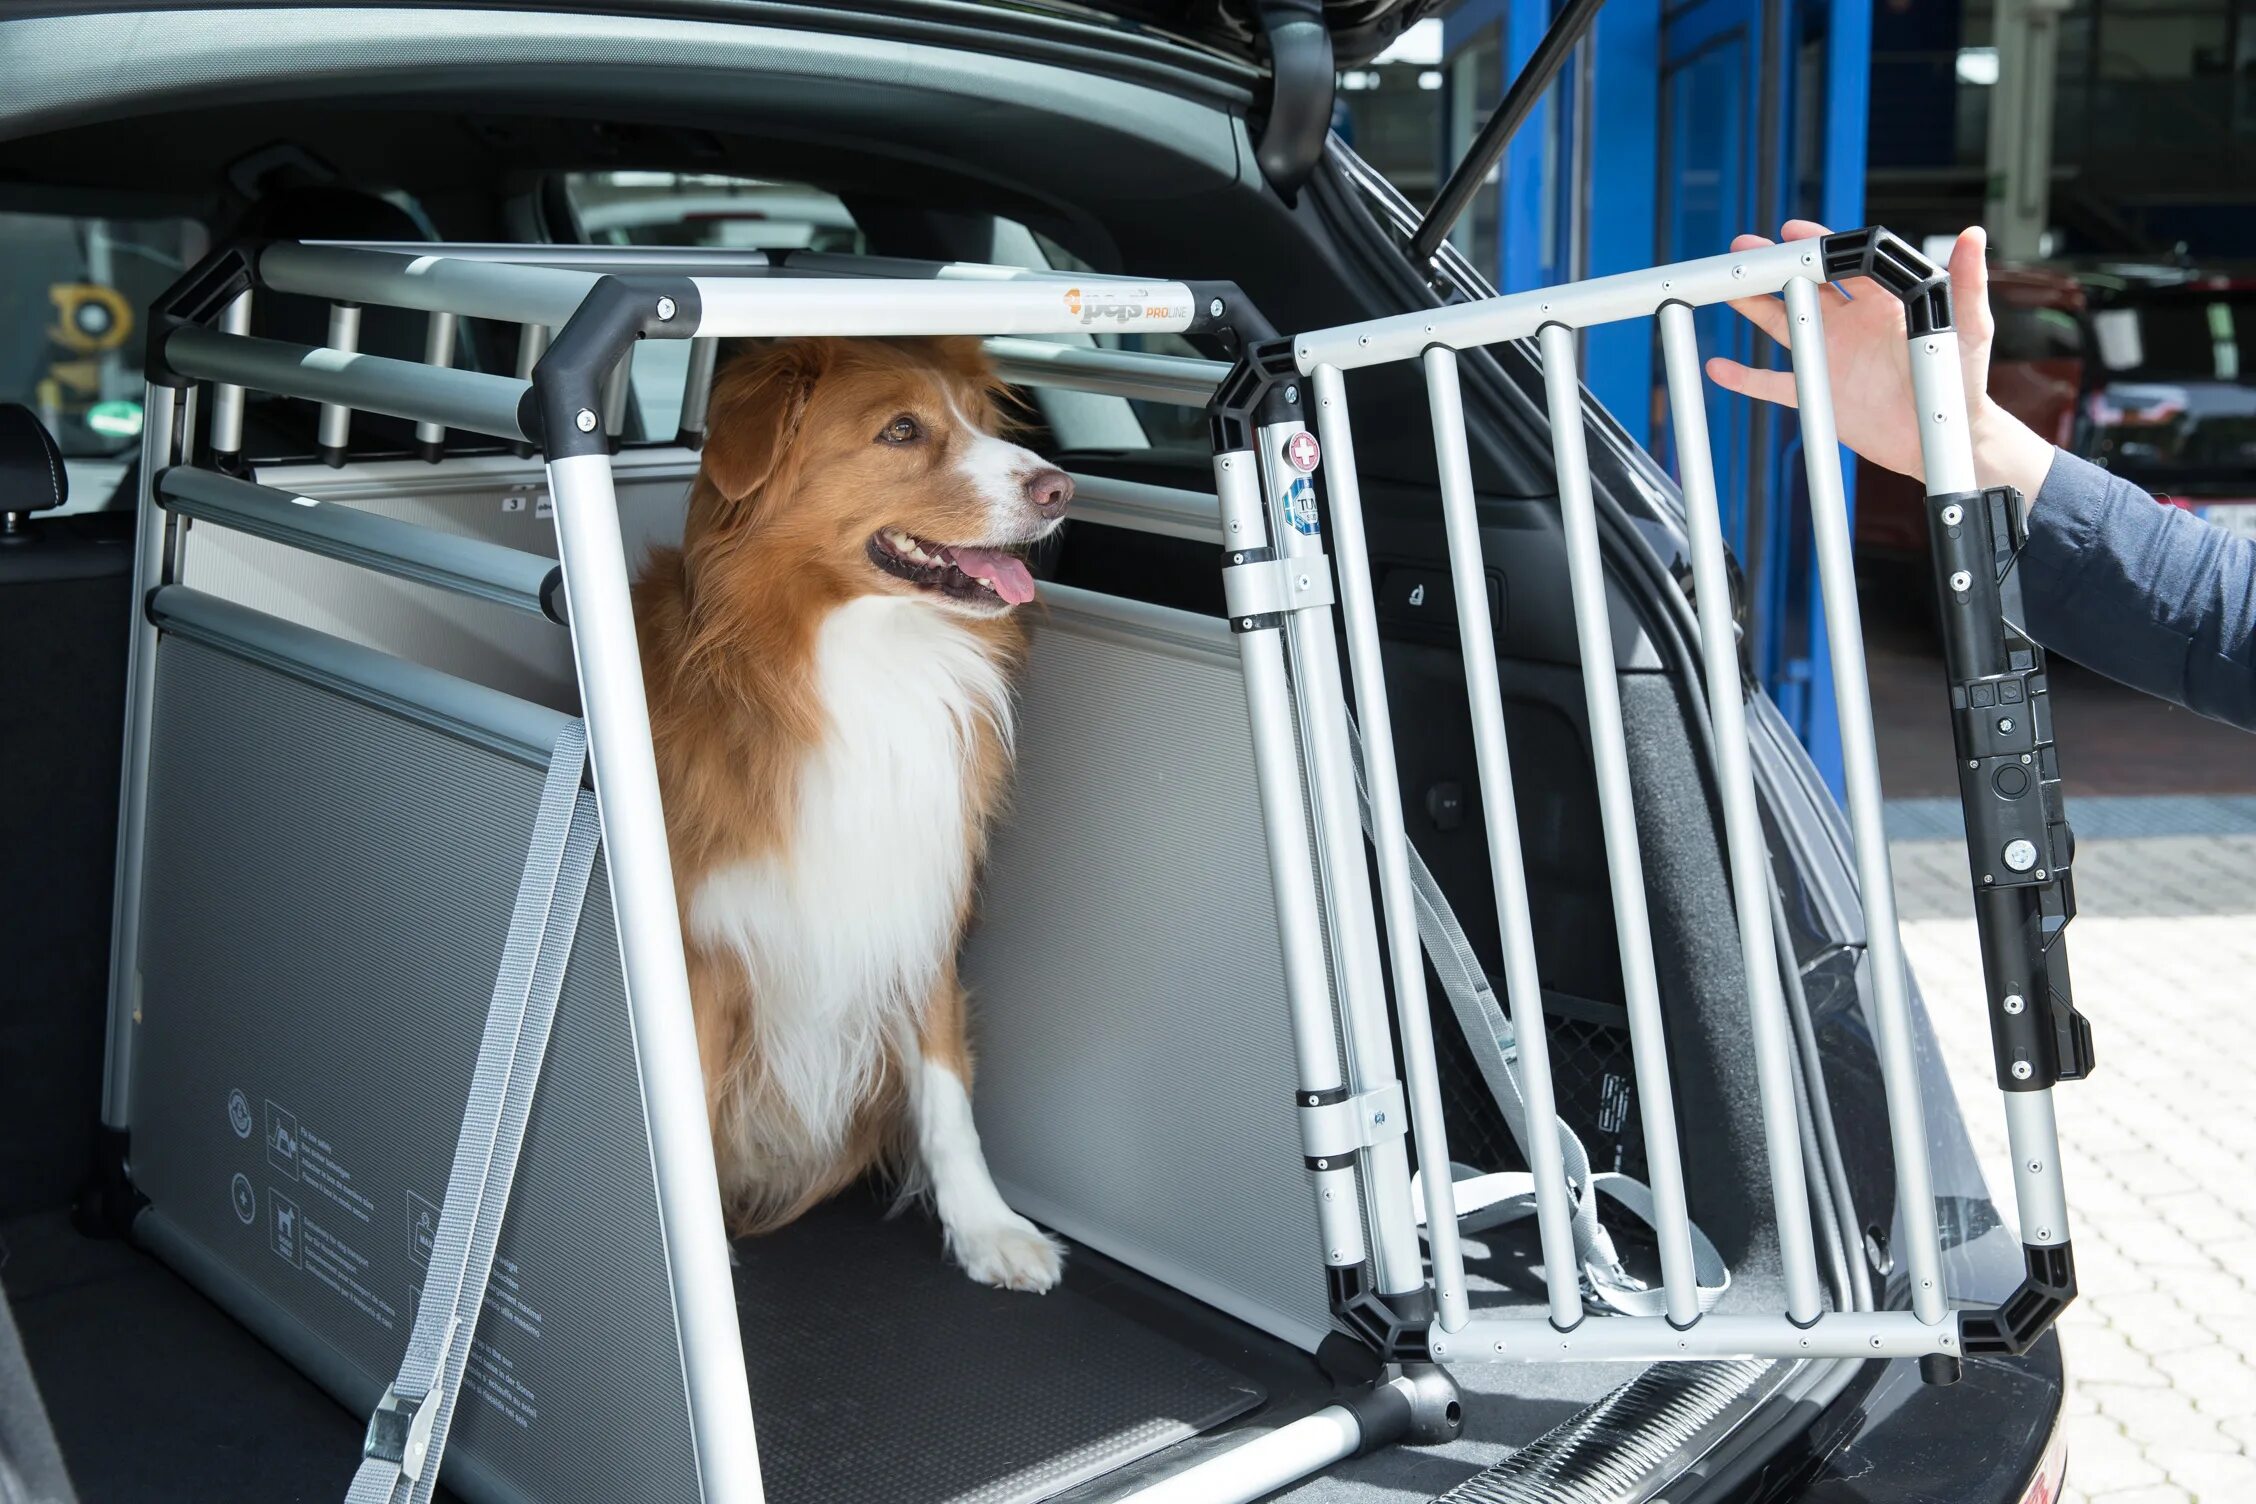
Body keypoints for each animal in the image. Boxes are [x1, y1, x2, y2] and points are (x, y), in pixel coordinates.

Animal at [636, 338, 1073, 1298]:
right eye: (901, 431)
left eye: (979, 420)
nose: (1061, 487)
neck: (858, 660)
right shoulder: (703, 950)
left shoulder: (916, 907)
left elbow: (947, 1092)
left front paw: (987, 1229)